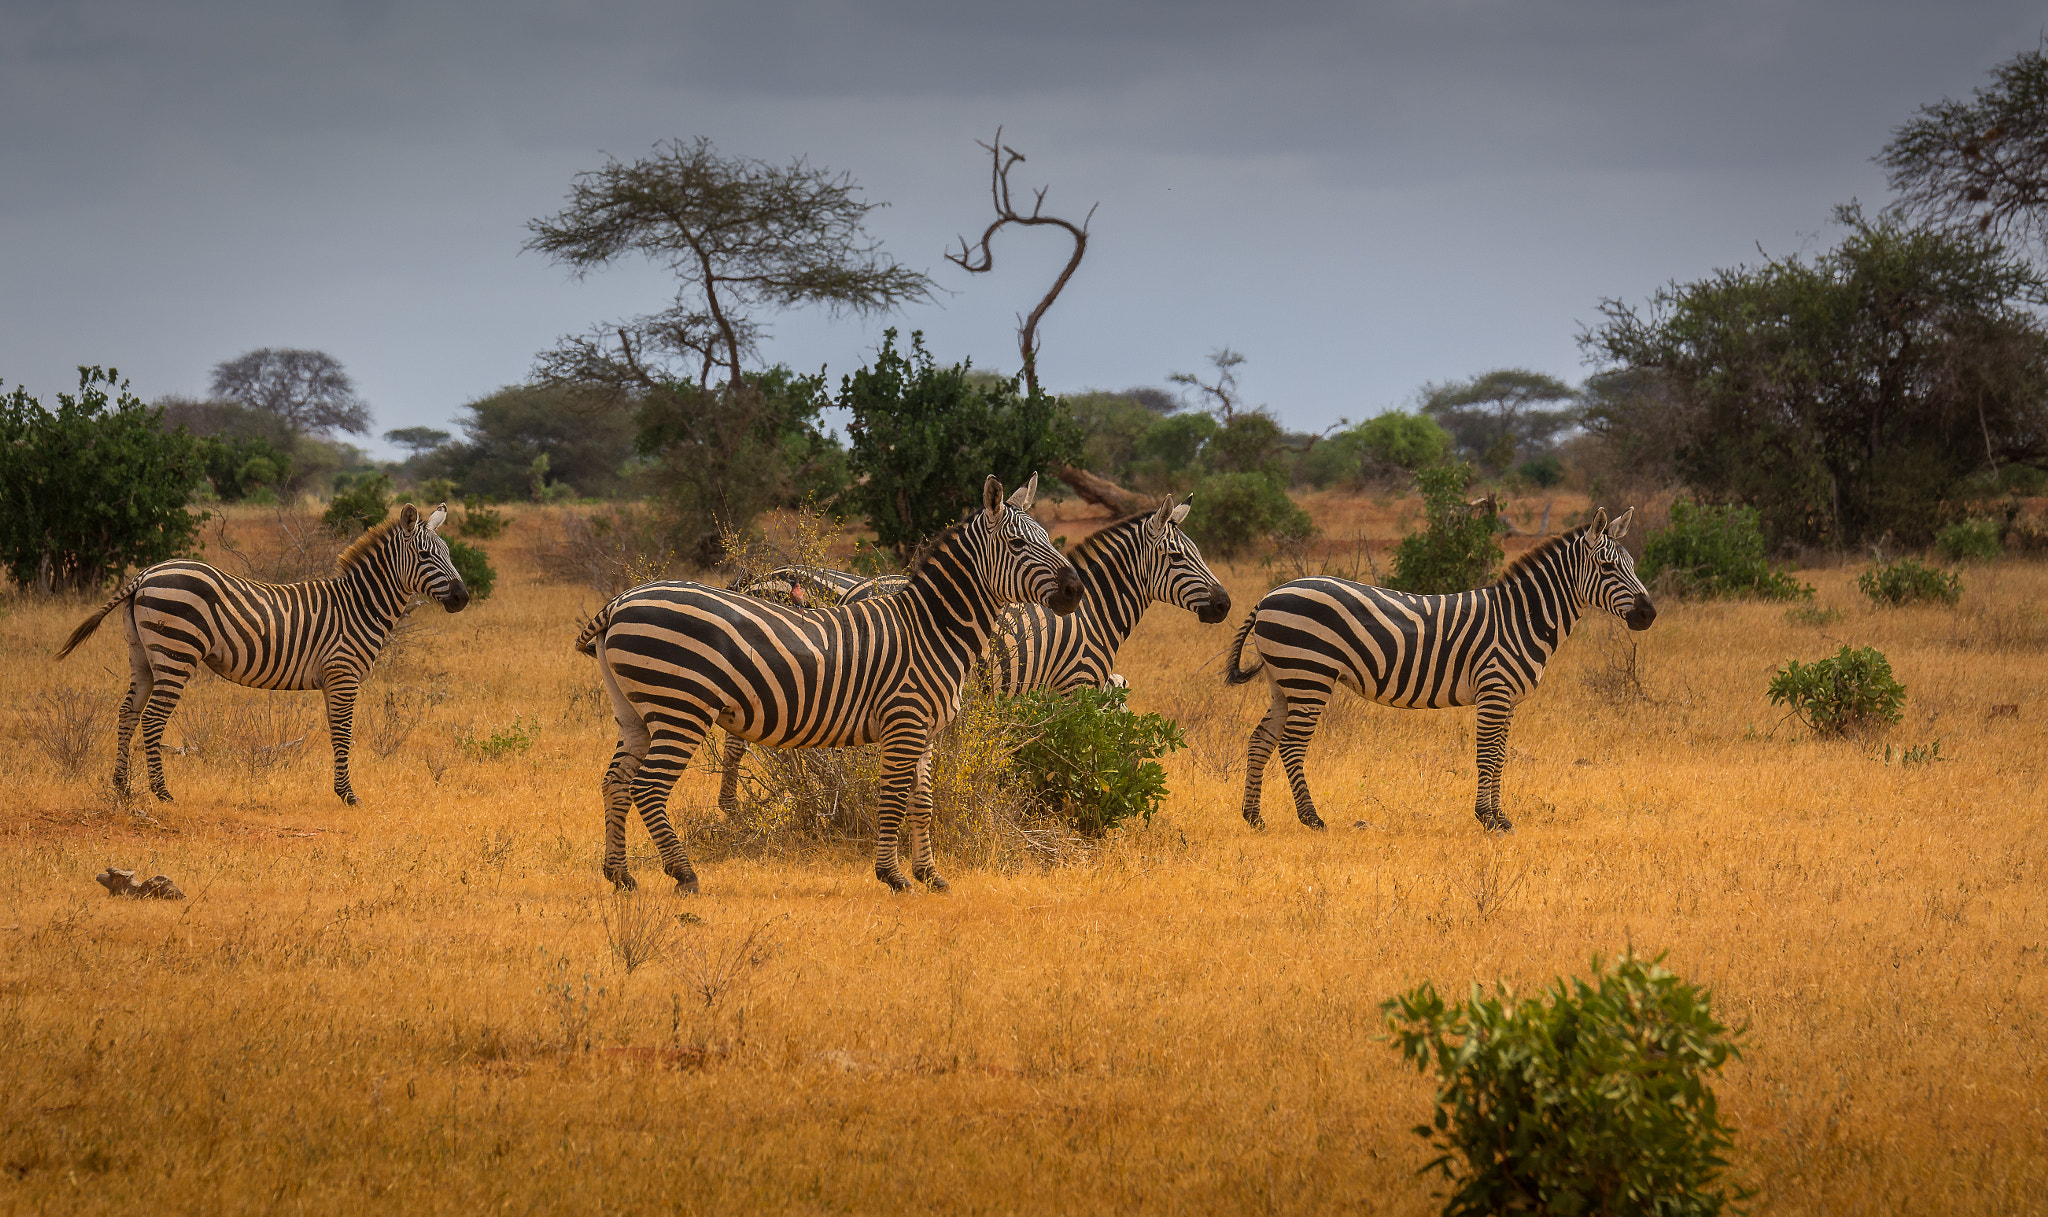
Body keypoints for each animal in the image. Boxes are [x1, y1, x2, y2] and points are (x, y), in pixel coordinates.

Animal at [57, 501, 475, 807]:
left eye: (447, 553)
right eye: (425, 555)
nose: (462, 598)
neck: (358, 605)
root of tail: (144, 575)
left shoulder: (332, 679)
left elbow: (335, 731)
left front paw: (340, 790)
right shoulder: (343, 672)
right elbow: (344, 731)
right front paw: (348, 795)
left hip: (143, 655)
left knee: (127, 714)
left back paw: (121, 789)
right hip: (176, 653)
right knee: (152, 719)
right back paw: (162, 793)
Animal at [581, 473, 1089, 889]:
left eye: (1048, 538)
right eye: (1018, 545)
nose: (1075, 590)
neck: (931, 630)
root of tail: (620, 602)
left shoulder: (925, 731)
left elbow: (922, 803)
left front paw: (931, 876)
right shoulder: (904, 723)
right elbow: (892, 798)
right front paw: (893, 876)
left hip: (635, 712)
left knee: (615, 782)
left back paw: (619, 874)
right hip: (680, 708)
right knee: (648, 787)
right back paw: (684, 874)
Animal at [716, 491, 1228, 815]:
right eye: (1179, 557)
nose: (1224, 604)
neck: (1092, 613)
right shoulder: (1076, 685)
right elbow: (1075, 748)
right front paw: (1065, 802)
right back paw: (736, 808)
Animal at [1220, 504, 1654, 835]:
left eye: (1633, 564)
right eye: (1606, 566)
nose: (1648, 614)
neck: (1521, 618)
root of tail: (1269, 595)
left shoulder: (1508, 699)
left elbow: (1501, 756)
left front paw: (1501, 817)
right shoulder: (1494, 691)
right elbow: (1486, 755)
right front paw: (1486, 818)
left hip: (1285, 681)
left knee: (1260, 740)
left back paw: (1253, 817)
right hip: (1310, 677)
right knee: (1291, 745)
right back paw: (1311, 819)